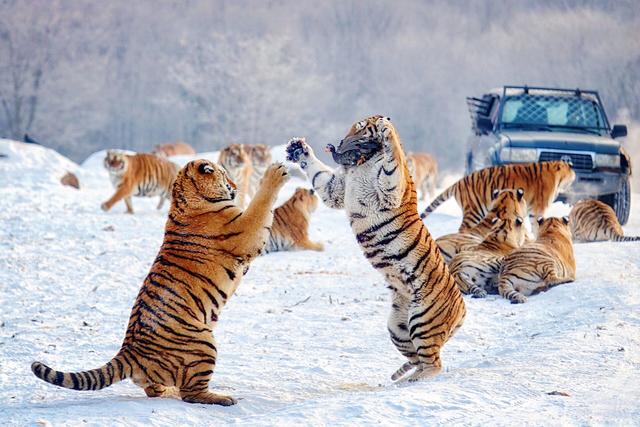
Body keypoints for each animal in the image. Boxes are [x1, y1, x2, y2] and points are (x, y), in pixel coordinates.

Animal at [31, 160, 288, 404]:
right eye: (224, 175)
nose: (235, 187)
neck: (184, 197)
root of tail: (129, 351)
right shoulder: (246, 231)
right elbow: (260, 206)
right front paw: (275, 173)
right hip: (204, 342)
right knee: (191, 394)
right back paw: (222, 398)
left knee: (153, 388)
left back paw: (167, 390)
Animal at [284, 115, 464, 382]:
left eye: (359, 128)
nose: (338, 142)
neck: (362, 163)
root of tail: (463, 310)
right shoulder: (336, 189)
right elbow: (319, 174)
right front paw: (298, 149)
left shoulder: (391, 188)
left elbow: (394, 162)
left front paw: (387, 130)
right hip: (398, 327)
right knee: (417, 360)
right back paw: (401, 381)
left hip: (423, 320)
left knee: (434, 363)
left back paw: (414, 381)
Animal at [420, 161, 576, 234]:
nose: (575, 177)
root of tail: (459, 182)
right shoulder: (539, 208)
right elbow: (537, 224)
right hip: (474, 210)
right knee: (463, 228)